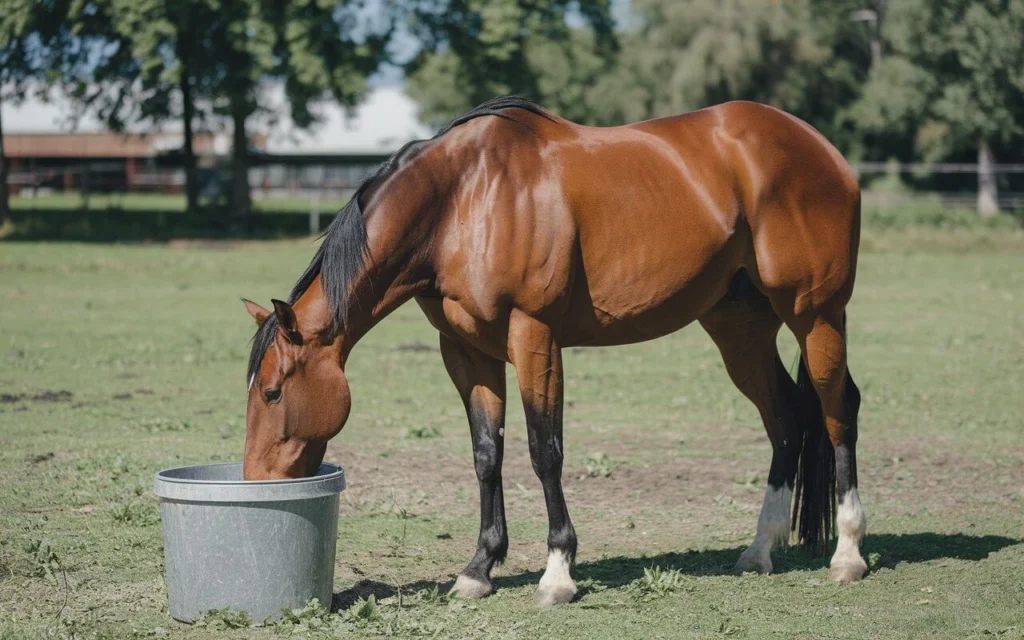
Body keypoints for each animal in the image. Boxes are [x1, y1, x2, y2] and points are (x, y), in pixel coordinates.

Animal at [239, 96, 864, 602]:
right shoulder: (466, 351)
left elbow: (545, 450)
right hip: (740, 328)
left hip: (815, 315)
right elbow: (487, 453)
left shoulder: (533, 334)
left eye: (272, 393)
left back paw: (848, 554)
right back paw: (760, 550)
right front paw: (479, 568)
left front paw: (558, 571)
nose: (256, 483)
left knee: (838, 410)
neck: (462, 202)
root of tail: (822, 148)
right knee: (786, 417)